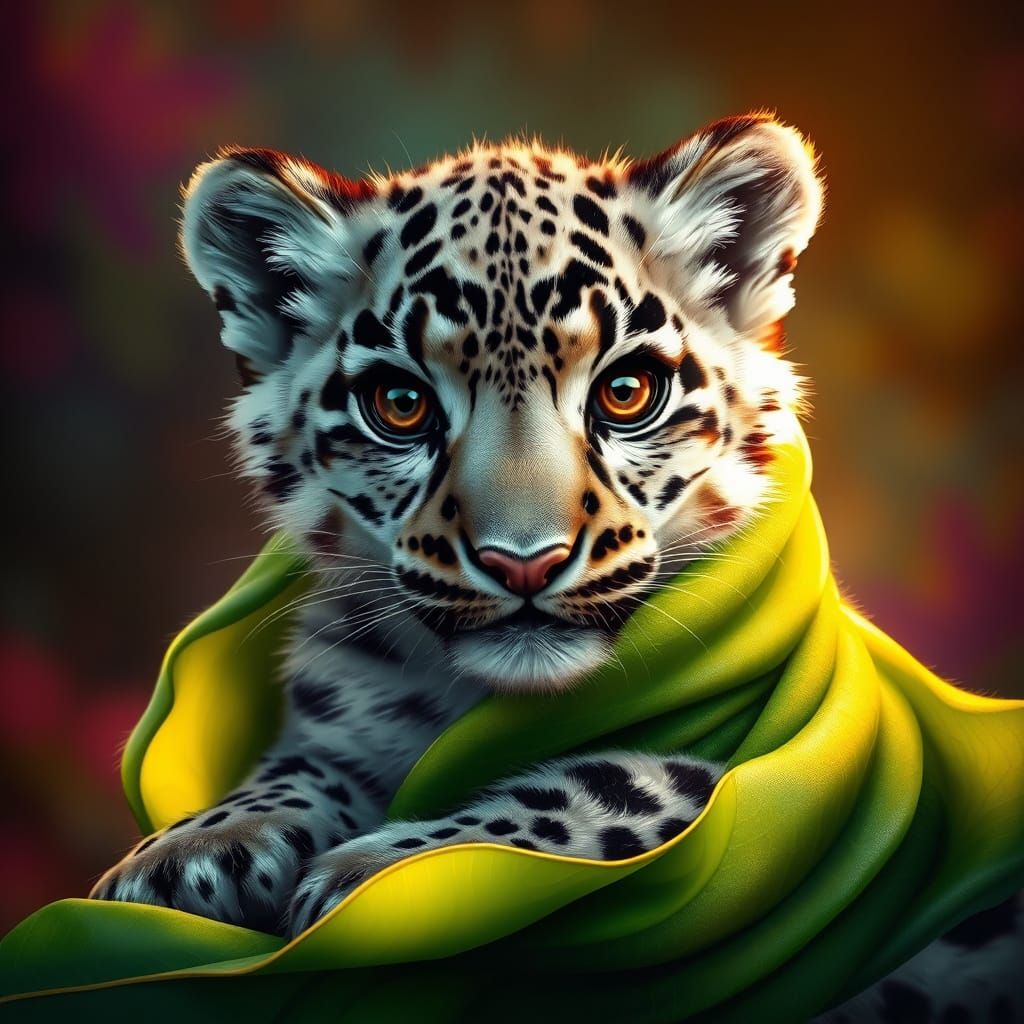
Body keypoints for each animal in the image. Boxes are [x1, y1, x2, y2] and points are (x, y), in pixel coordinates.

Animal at [91, 114, 1021, 1022]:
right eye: (401, 404)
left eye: (627, 391)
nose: (524, 564)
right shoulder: (338, 719)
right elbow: (290, 769)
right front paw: (191, 850)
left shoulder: (773, 779)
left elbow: (611, 782)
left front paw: (389, 871)